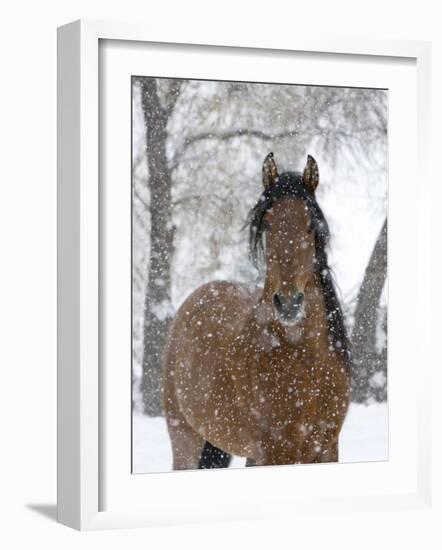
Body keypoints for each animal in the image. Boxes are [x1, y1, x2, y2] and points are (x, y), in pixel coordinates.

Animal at [164, 154, 350, 470]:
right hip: (185, 440)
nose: (288, 303)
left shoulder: (326, 451)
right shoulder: (276, 453)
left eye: (310, 226)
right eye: (268, 226)